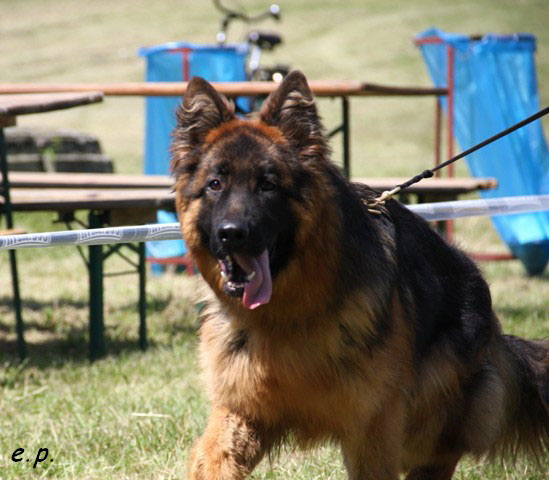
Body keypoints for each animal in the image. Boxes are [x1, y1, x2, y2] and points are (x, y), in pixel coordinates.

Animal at [171, 70, 548, 479]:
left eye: (268, 184)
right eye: (215, 184)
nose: (232, 233)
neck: (286, 317)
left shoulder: (373, 428)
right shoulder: (243, 411)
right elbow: (213, 458)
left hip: (430, 414)